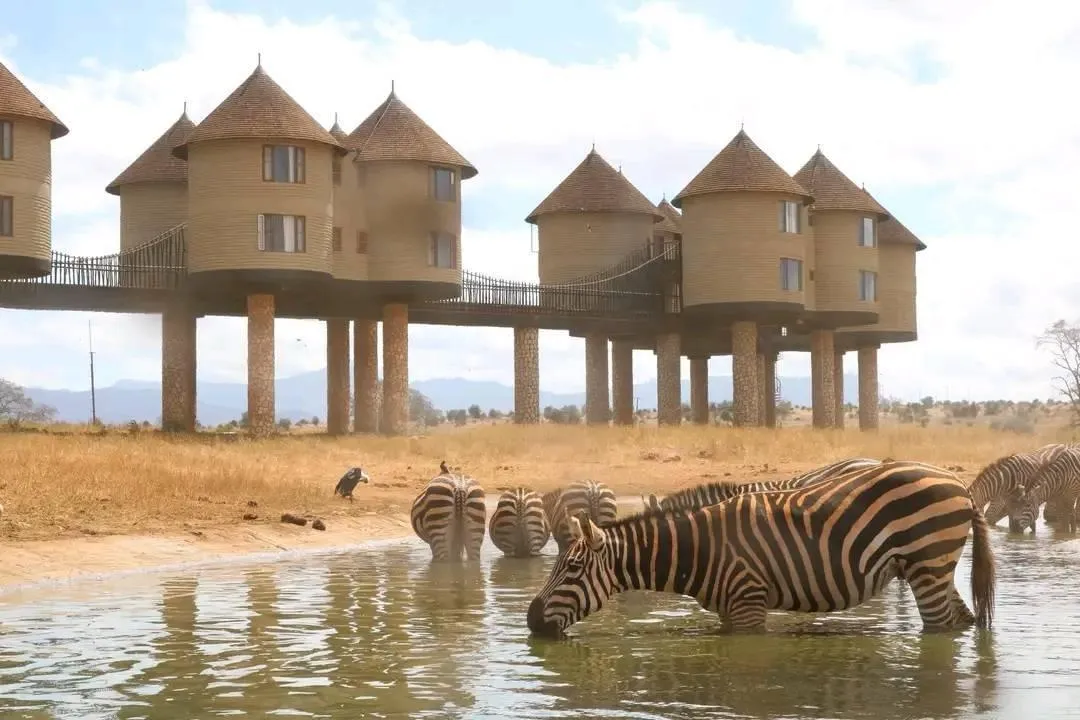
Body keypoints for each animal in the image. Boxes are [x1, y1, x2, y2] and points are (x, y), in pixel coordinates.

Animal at [524, 462, 993, 634]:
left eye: (571, 570)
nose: (530, 621)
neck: (701, 550)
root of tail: (958, 483)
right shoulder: (729, 611)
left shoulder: (748, 604)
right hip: (932, 569)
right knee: (961, 620)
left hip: (927, 564)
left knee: (941, 629)